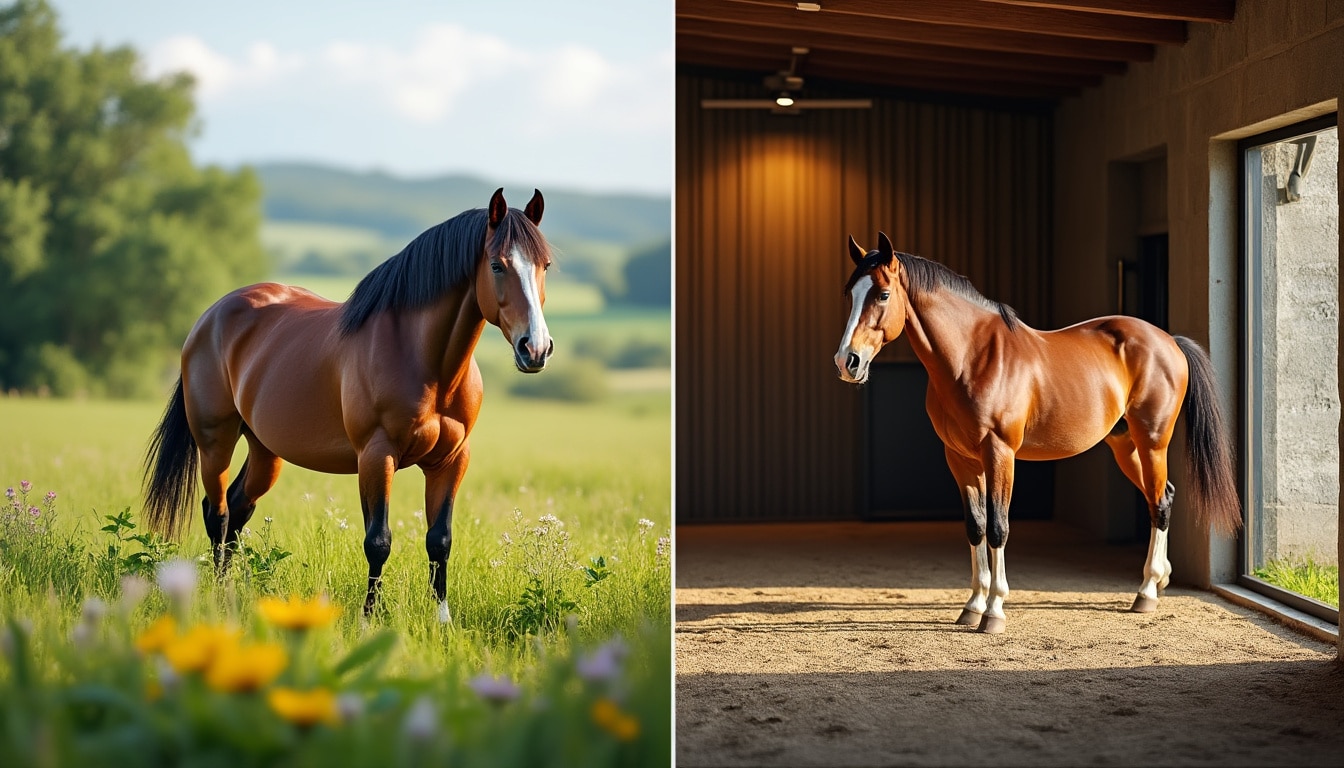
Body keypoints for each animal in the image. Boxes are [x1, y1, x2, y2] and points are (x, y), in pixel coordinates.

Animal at [142, 188, 554, 620]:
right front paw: (368, 619)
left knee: (238, 509)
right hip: (215, 442)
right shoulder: (375, 456)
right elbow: (378, 541)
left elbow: (439, 539)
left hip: (265, 450)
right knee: (217, 514)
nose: (535, 348)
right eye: (496, 265)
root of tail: (210, 317)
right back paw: (220, 601)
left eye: (545, 265)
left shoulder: (452, 459)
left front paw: (442, 619)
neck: (423, 359)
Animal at [833, 232, 1240, 634]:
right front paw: (972, 606)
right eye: (850, 293)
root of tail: (1169, 341)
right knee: (1164, 495)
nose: (846, 361)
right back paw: (1159, 581)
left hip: (1152, 442)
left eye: (883, 294)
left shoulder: (999, 454)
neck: (972, 358)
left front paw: (994, 611)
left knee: (1159, 504)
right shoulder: (961, 459)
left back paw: (1146, 594)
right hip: (1125, 445)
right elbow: (976, 527)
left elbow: (998, 527)